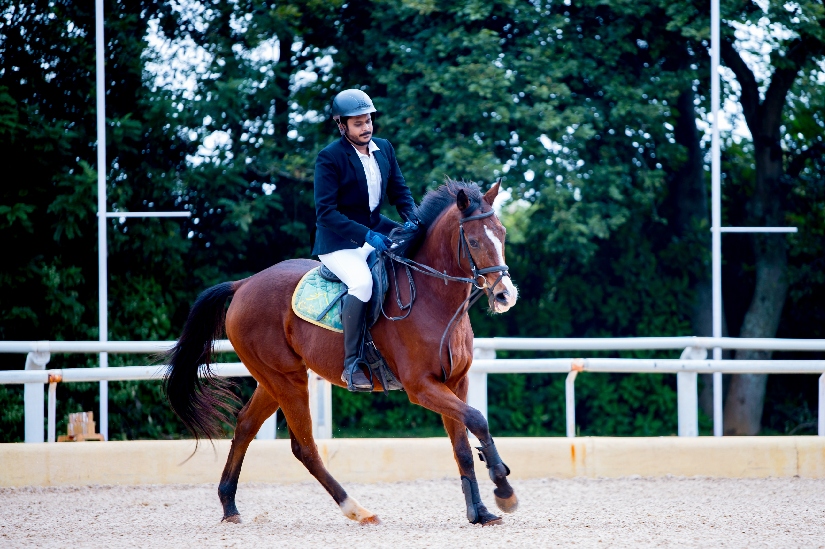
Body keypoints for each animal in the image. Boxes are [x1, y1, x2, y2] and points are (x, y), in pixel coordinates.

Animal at [163, 178, 519, 527]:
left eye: (502, 234)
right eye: (473, 241)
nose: (505, 295)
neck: (434, 299)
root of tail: (244, 284)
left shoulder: (455, 381)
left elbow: (463, 446)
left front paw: (480, 511)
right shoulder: (421, 386)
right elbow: (477, 419)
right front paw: (503, 488)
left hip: (273, 378)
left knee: (246, 427)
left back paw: (229, 505)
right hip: (287, 380)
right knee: (304, 447)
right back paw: (357, 510)